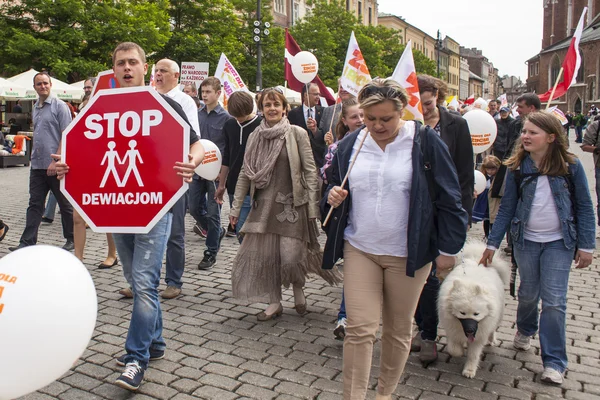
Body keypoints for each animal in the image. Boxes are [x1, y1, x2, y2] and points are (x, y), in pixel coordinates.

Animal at [438, 241, 508, 378]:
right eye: (462, 313)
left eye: (476, 314)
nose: (470, 330)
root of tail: (477, 259)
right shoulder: (451, 328)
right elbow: (453, 349)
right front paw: (459, 351)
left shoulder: (479, 336)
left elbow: (473, 355)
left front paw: (469, 370)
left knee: (493, 330)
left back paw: (491, 340)